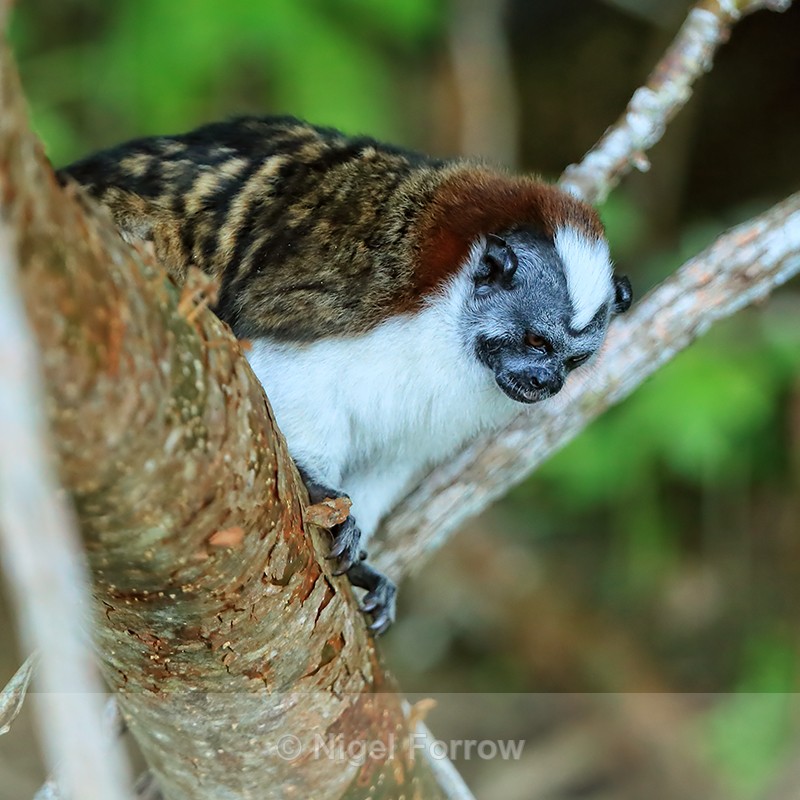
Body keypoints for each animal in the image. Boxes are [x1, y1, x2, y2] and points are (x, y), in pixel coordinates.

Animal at [58, 115, 632, 635]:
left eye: (573, 361)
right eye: (537, 342)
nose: (546, 382)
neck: (447, 320)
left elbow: (391, 459)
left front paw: (365, 568)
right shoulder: (347, 303)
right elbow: (280, 366)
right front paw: (318, 488)